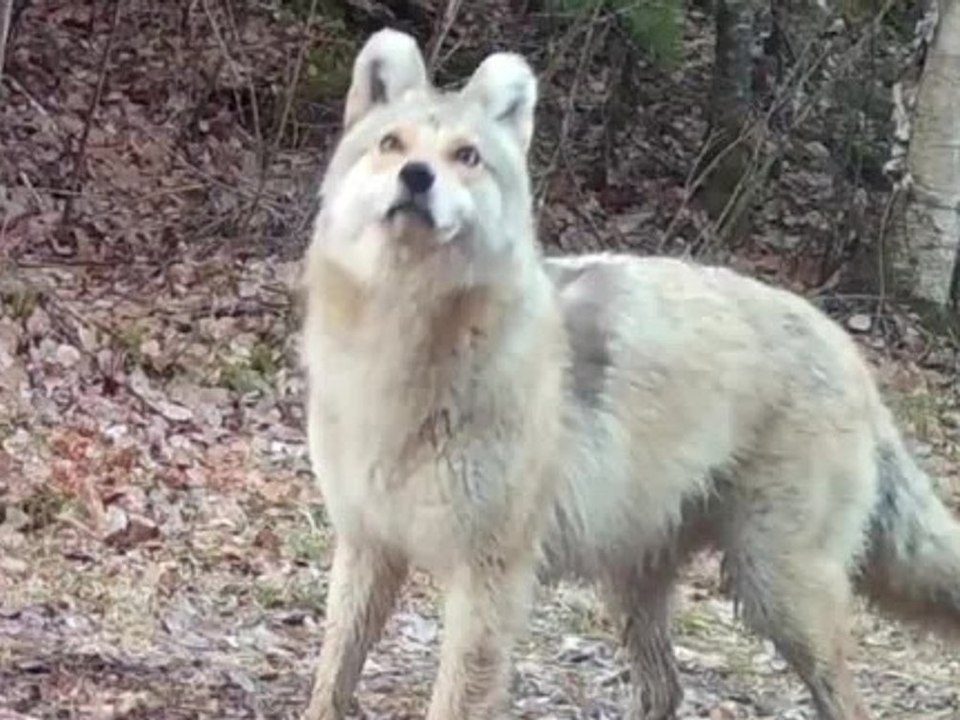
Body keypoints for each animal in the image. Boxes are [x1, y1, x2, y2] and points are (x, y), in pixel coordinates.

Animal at [298, 27, 960, 720]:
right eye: (392, 145)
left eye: (466, 156)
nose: (417, 176)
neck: (398, 344)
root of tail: (848, 350)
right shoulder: (367, 548)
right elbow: (331, 678)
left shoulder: (488, 578)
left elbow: (453, 699)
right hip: (641, 583)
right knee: (667, 687)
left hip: (775, 591)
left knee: (844, 701)